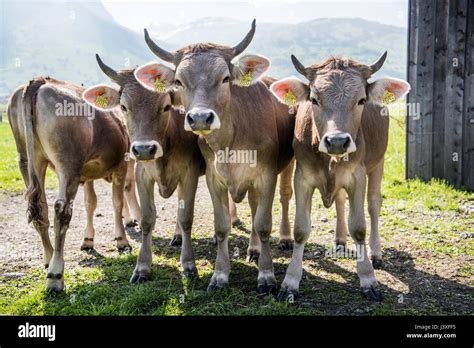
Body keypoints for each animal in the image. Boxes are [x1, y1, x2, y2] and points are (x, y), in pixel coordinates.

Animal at [7, 77, 141, 290]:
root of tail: (40, 81)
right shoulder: (121, 164)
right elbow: (117, 201)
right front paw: (122, 240)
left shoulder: (88, 175)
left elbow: (91, 203)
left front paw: (88, 240)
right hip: (68, 164)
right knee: (61, 211)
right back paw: (55, 275)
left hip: (28, 160)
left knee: (41, 208)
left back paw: (49, 258)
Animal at [134, 19, 296, 294]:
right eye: (179, 81)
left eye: (225, 78)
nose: (200, 118)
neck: (232, 141)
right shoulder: (214, 177)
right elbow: (222, 226)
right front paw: (220, 276)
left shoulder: (266, 175)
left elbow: (263, 224)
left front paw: (266, 276)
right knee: (253, 207)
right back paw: (253, 250)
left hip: (288, 166)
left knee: (283, 198)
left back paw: (282, 240)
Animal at [270, 51, 412, 302]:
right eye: (314, 100)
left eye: (362, 100)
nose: (337, 141)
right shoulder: (302, 177)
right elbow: (300, 230)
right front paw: (290, 282)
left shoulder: (358, 175)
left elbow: (359, 227)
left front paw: (368, 278)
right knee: (339, 200)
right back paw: (339, 239)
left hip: (378, 163)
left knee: (374, 204)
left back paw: (376, 252)